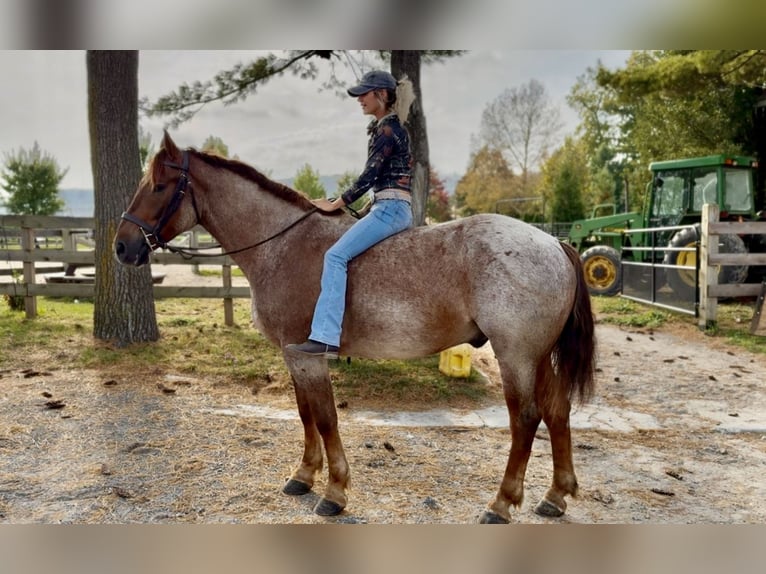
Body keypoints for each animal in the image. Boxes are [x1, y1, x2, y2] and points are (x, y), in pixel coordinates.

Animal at [114, 131, 596, 524]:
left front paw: (334, 492)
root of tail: (554, 242)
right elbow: (305, 414)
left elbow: (326, 418)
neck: (283, 244)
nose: (122, 246)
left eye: (159, 186)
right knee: (556, 411)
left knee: (526, 419)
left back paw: (501, 503)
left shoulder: (308, 357)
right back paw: (555, 496)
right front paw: (304, 475)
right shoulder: (294, 354)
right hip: (539, 356)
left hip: (516, 355)